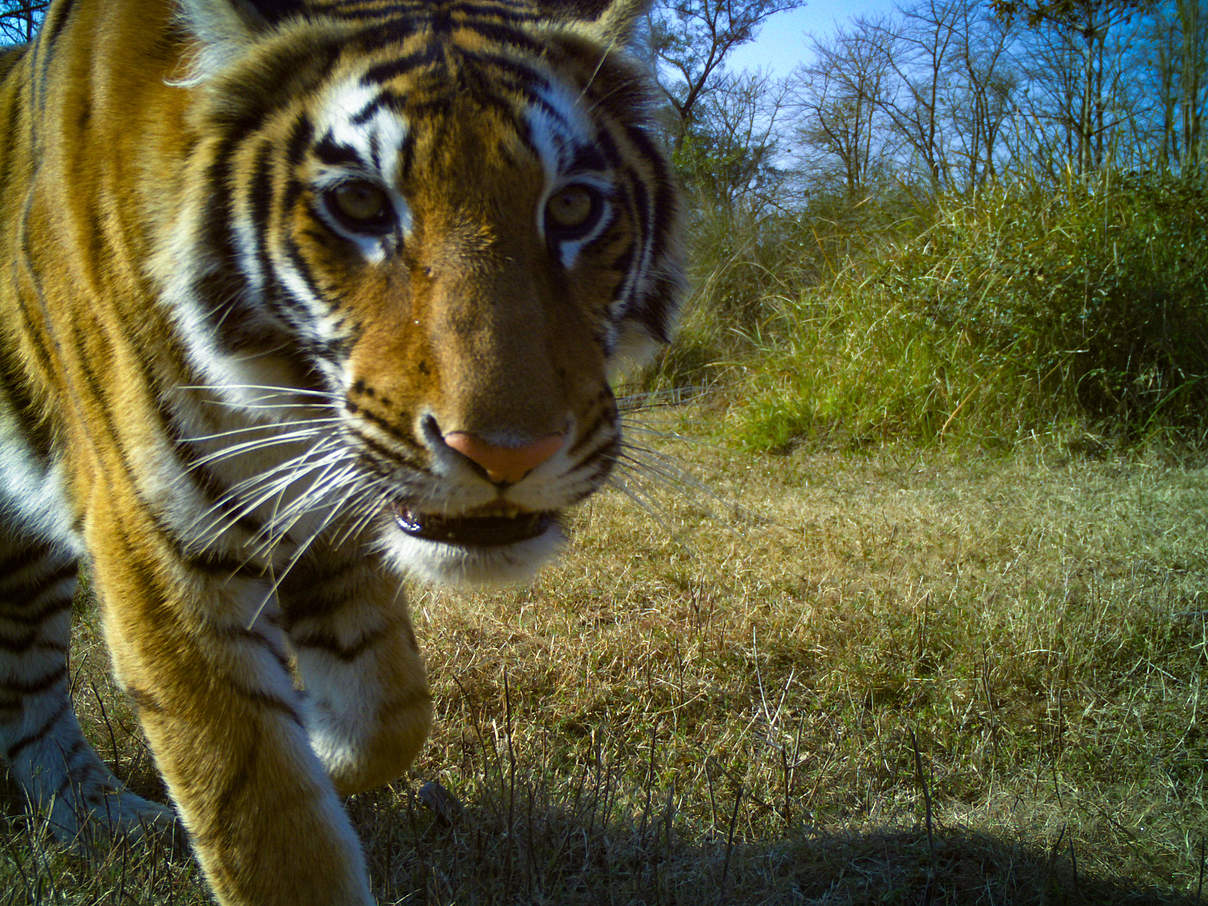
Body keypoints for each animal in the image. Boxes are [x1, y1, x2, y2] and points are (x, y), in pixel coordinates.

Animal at [0, 0, 681, 903]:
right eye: (359, 203)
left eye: (572, 209)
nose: (507, 453)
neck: (286, 400)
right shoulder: (157, 544)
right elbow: (266, 824)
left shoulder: (336, 514)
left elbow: (391, 710)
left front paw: (329, 750)